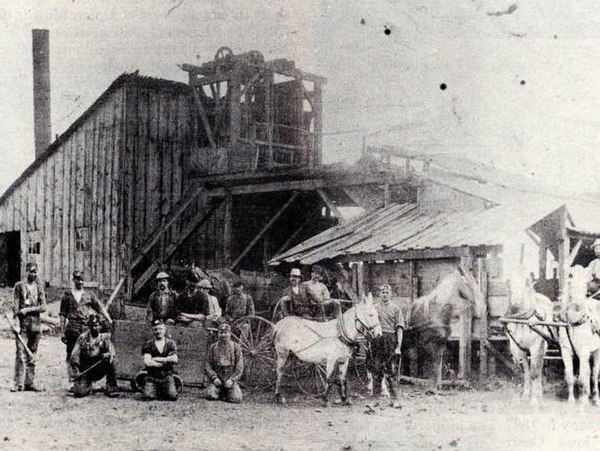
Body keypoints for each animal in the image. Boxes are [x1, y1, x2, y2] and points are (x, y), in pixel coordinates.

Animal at [504, 272, 556, 406]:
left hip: (542, 347)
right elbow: (521, 372)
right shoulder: (515, 347)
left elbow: (534, 373)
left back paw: (539, 395)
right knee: (528, 370)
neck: (521, 320)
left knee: (539, 369)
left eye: (525, 284)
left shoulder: (535, 347)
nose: (515, 304)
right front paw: (518, 398)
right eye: (509, 283)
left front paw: (534, 400)